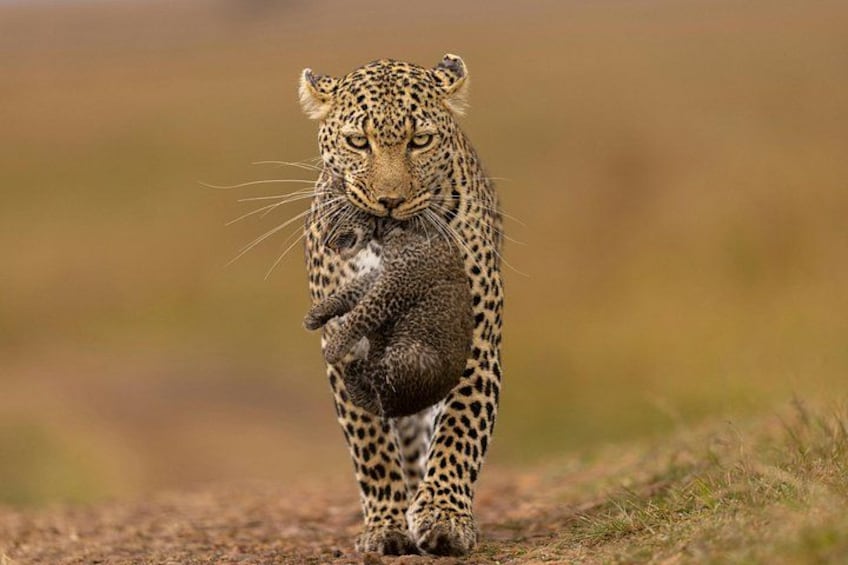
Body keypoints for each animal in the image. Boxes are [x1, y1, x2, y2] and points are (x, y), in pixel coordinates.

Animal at [303, 211, 473, 419]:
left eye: (336, 217)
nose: (325, 243)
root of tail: (398, 409)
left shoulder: (396, 282)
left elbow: (363, 311)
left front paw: (335, 347)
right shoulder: (383, 274)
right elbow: (352, 290)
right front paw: (318, 313)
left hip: (412, 357)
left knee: (370, 370)